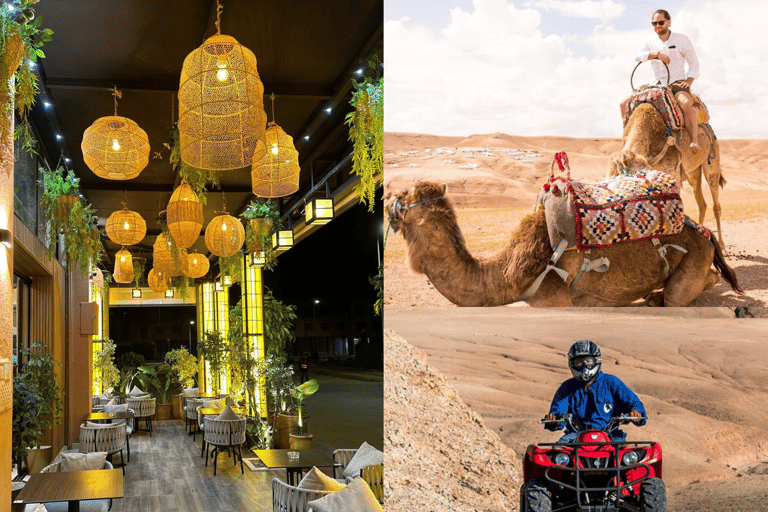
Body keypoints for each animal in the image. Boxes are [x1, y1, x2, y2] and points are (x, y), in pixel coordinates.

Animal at [388, 181, 740, 308]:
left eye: (403, 196)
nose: (388, 196)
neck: (503, 276)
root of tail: (702, 232)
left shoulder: (552, 298)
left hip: (693, 259)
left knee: (680, 293)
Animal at [608, 101, 724, 249]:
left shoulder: (672, 170)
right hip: (692, 172)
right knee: (701, 203)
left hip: (712, 159)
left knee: (716, 203)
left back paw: (722, 246)